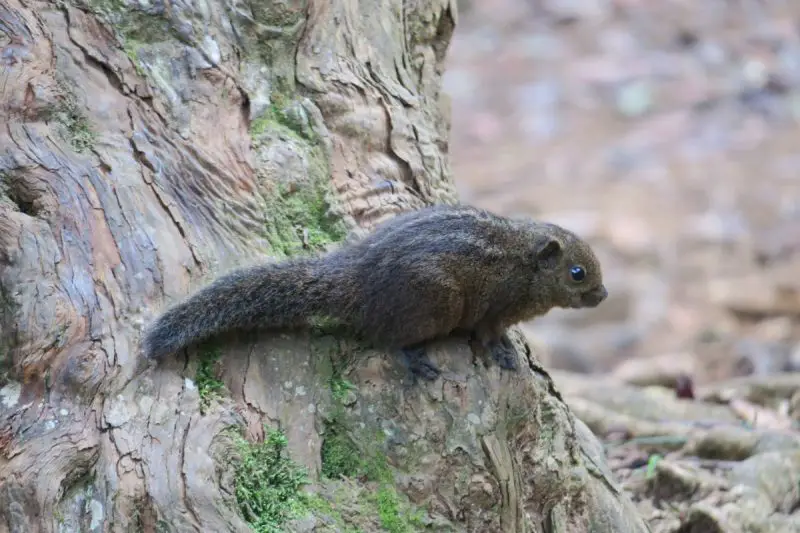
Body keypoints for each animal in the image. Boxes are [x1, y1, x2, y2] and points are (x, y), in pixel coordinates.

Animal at [141, 203, 608, 381]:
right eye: (578, 273)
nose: (603, 296)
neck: (522, 262)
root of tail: (357, 277)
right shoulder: (493, 309)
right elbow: (491, 335)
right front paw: (506, 354)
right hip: (438, 302)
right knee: (389, 338)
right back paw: (417, 361)